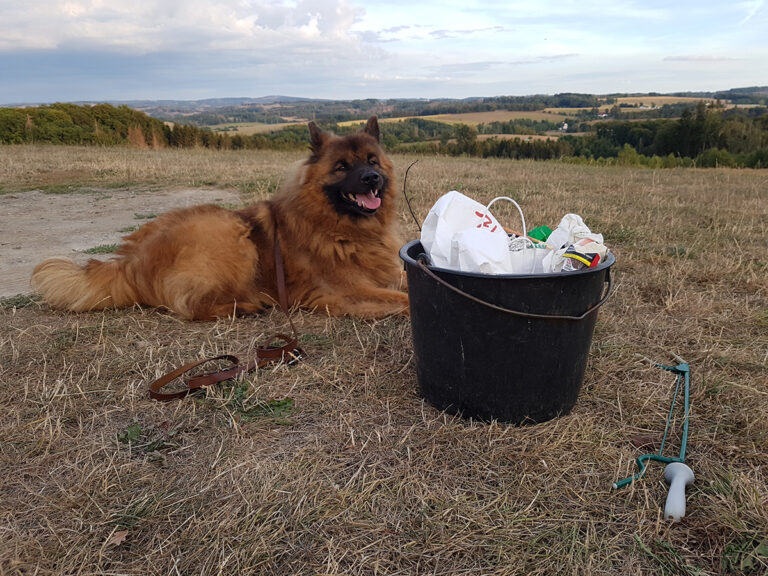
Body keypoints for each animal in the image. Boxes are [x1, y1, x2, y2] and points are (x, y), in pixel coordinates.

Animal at [33, 116, 412, 320]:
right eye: (342, 167)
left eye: (372, 161)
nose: (372, 179)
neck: (345, 229)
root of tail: (130, 261)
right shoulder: (347, 292)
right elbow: (403, 300)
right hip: (232, 234)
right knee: (191, 306)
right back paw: (245, 305)